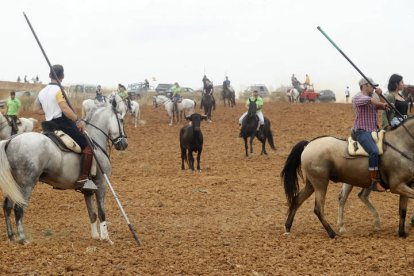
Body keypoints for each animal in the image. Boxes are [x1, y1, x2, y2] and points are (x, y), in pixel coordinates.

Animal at [0, 94, 128, 244]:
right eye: (121, 119)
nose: (124, 144)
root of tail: (11, 140)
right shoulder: (101, 184)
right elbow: (102, 213)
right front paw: (106, 239)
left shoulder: (88, 190)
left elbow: (92, 213)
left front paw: (95, 236)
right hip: (26, 184)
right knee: (18, 209)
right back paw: (23, 239)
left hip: (14, 184)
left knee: (7, 206)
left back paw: (11, 237)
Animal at [282, 117, 414, 238]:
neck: (400, 146)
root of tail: (309, 143)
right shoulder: (397, 186)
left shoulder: (406, 185)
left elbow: (403, 210)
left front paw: (402, 233)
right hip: (321, 183)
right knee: (319, 208)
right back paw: (332, 233)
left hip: (312, 183)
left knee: (297, 199)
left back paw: (288, 227)